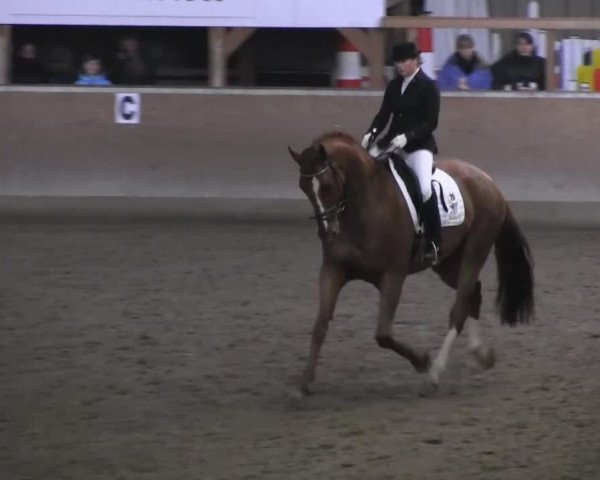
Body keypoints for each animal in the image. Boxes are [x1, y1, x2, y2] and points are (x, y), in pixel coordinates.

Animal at [290, 130, 536, 394]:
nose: (328, 233)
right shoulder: (333, 269)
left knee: (460, 307)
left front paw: (423, 361)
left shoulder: (393, 275)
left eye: (326, 186)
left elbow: (383, 334)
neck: (365, 204)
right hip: (447, 263)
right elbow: (320, 325)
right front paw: (304, 382)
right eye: (303, 187)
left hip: (475, 250)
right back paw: (481, 354)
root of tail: (489, 182)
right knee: (474, 293)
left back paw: (435, 373)